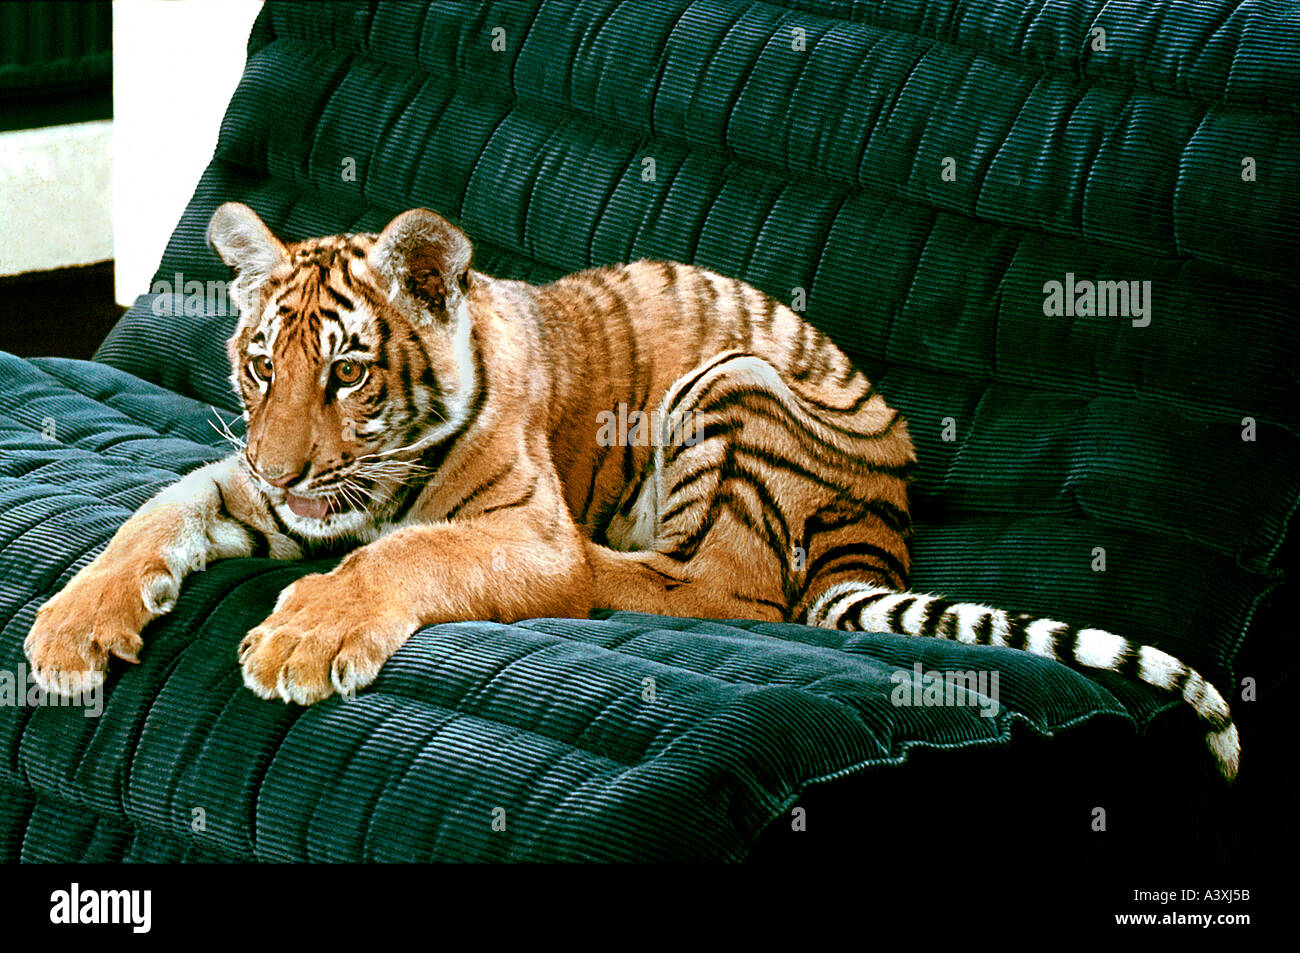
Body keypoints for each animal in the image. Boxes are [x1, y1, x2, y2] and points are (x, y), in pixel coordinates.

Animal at [23, 202, 1241, 781]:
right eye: (260, 365)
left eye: (350, 372)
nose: (286, 472)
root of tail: (889, 511)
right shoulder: (253, 488)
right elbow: (154, 511)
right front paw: (70, 630)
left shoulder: (515, 523)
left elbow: (405, 548)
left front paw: (301, 635)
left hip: (732, 381)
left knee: (728, 591)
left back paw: (602, 576)